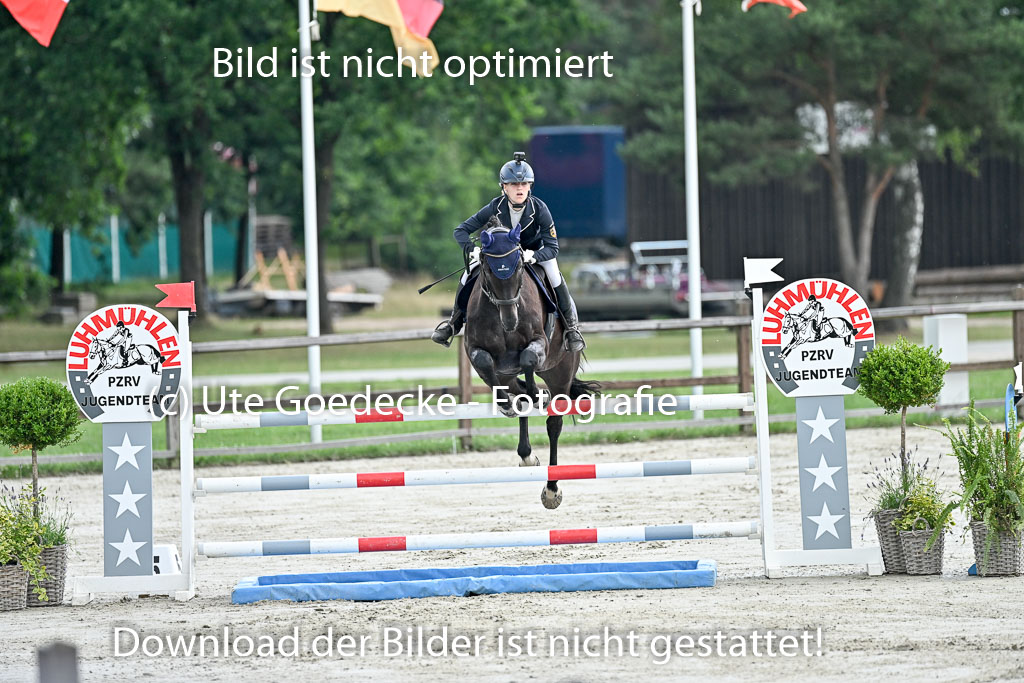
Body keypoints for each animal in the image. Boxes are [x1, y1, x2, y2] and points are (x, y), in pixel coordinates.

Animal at [464, 217, 599, 509]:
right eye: (488, 271)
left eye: (518, 268)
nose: (510, 321)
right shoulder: (476, 352)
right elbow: (485, 361)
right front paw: (507, 405)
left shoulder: (539, 343)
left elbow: (527, 357)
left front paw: (538, 395)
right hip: (507, 375)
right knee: (517, 394)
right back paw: (526, 452)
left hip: (560, 372)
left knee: (553, 423)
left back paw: (551, 490)